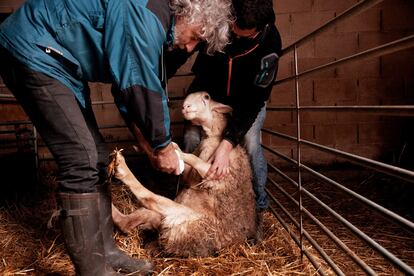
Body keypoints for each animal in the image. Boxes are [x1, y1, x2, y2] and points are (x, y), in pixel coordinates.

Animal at [109, 92, 258, 256]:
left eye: (206, 97)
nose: (185, 106)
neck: (213, 136)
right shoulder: (193, 175)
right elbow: (186, 165)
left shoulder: (214, 173)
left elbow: (190, 157)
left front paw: (174, 153)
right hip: (163, 217)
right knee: (127, 223)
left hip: (182, 216)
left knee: (148, 197)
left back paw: (122, 167)